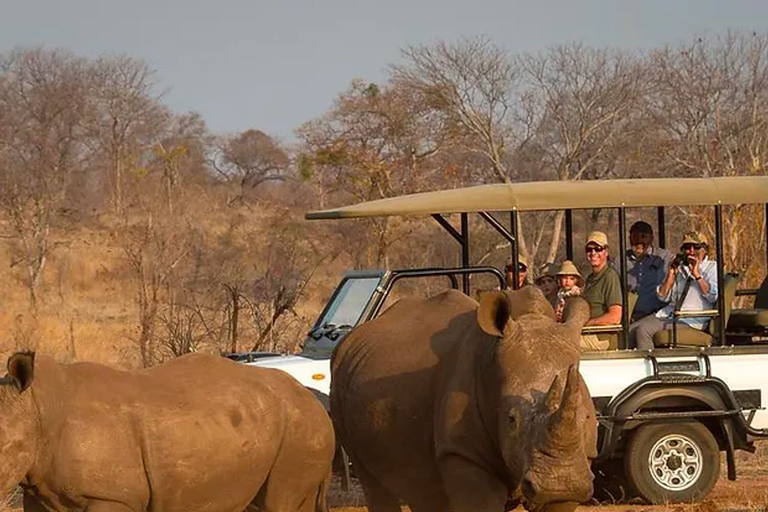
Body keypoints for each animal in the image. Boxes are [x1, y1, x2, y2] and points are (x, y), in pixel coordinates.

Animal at [0, 351, 334, 512]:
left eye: (4, 449)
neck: (39, 406)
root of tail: (315, 400)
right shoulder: (40, 490)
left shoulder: (112, 497)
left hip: (300, 430)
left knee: (279, 502)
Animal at [331, 286, 597, 512]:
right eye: (511, 419)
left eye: (587, 417)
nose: (560, 485)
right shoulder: (462, 451)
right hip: (339, 380)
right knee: (373, 481)